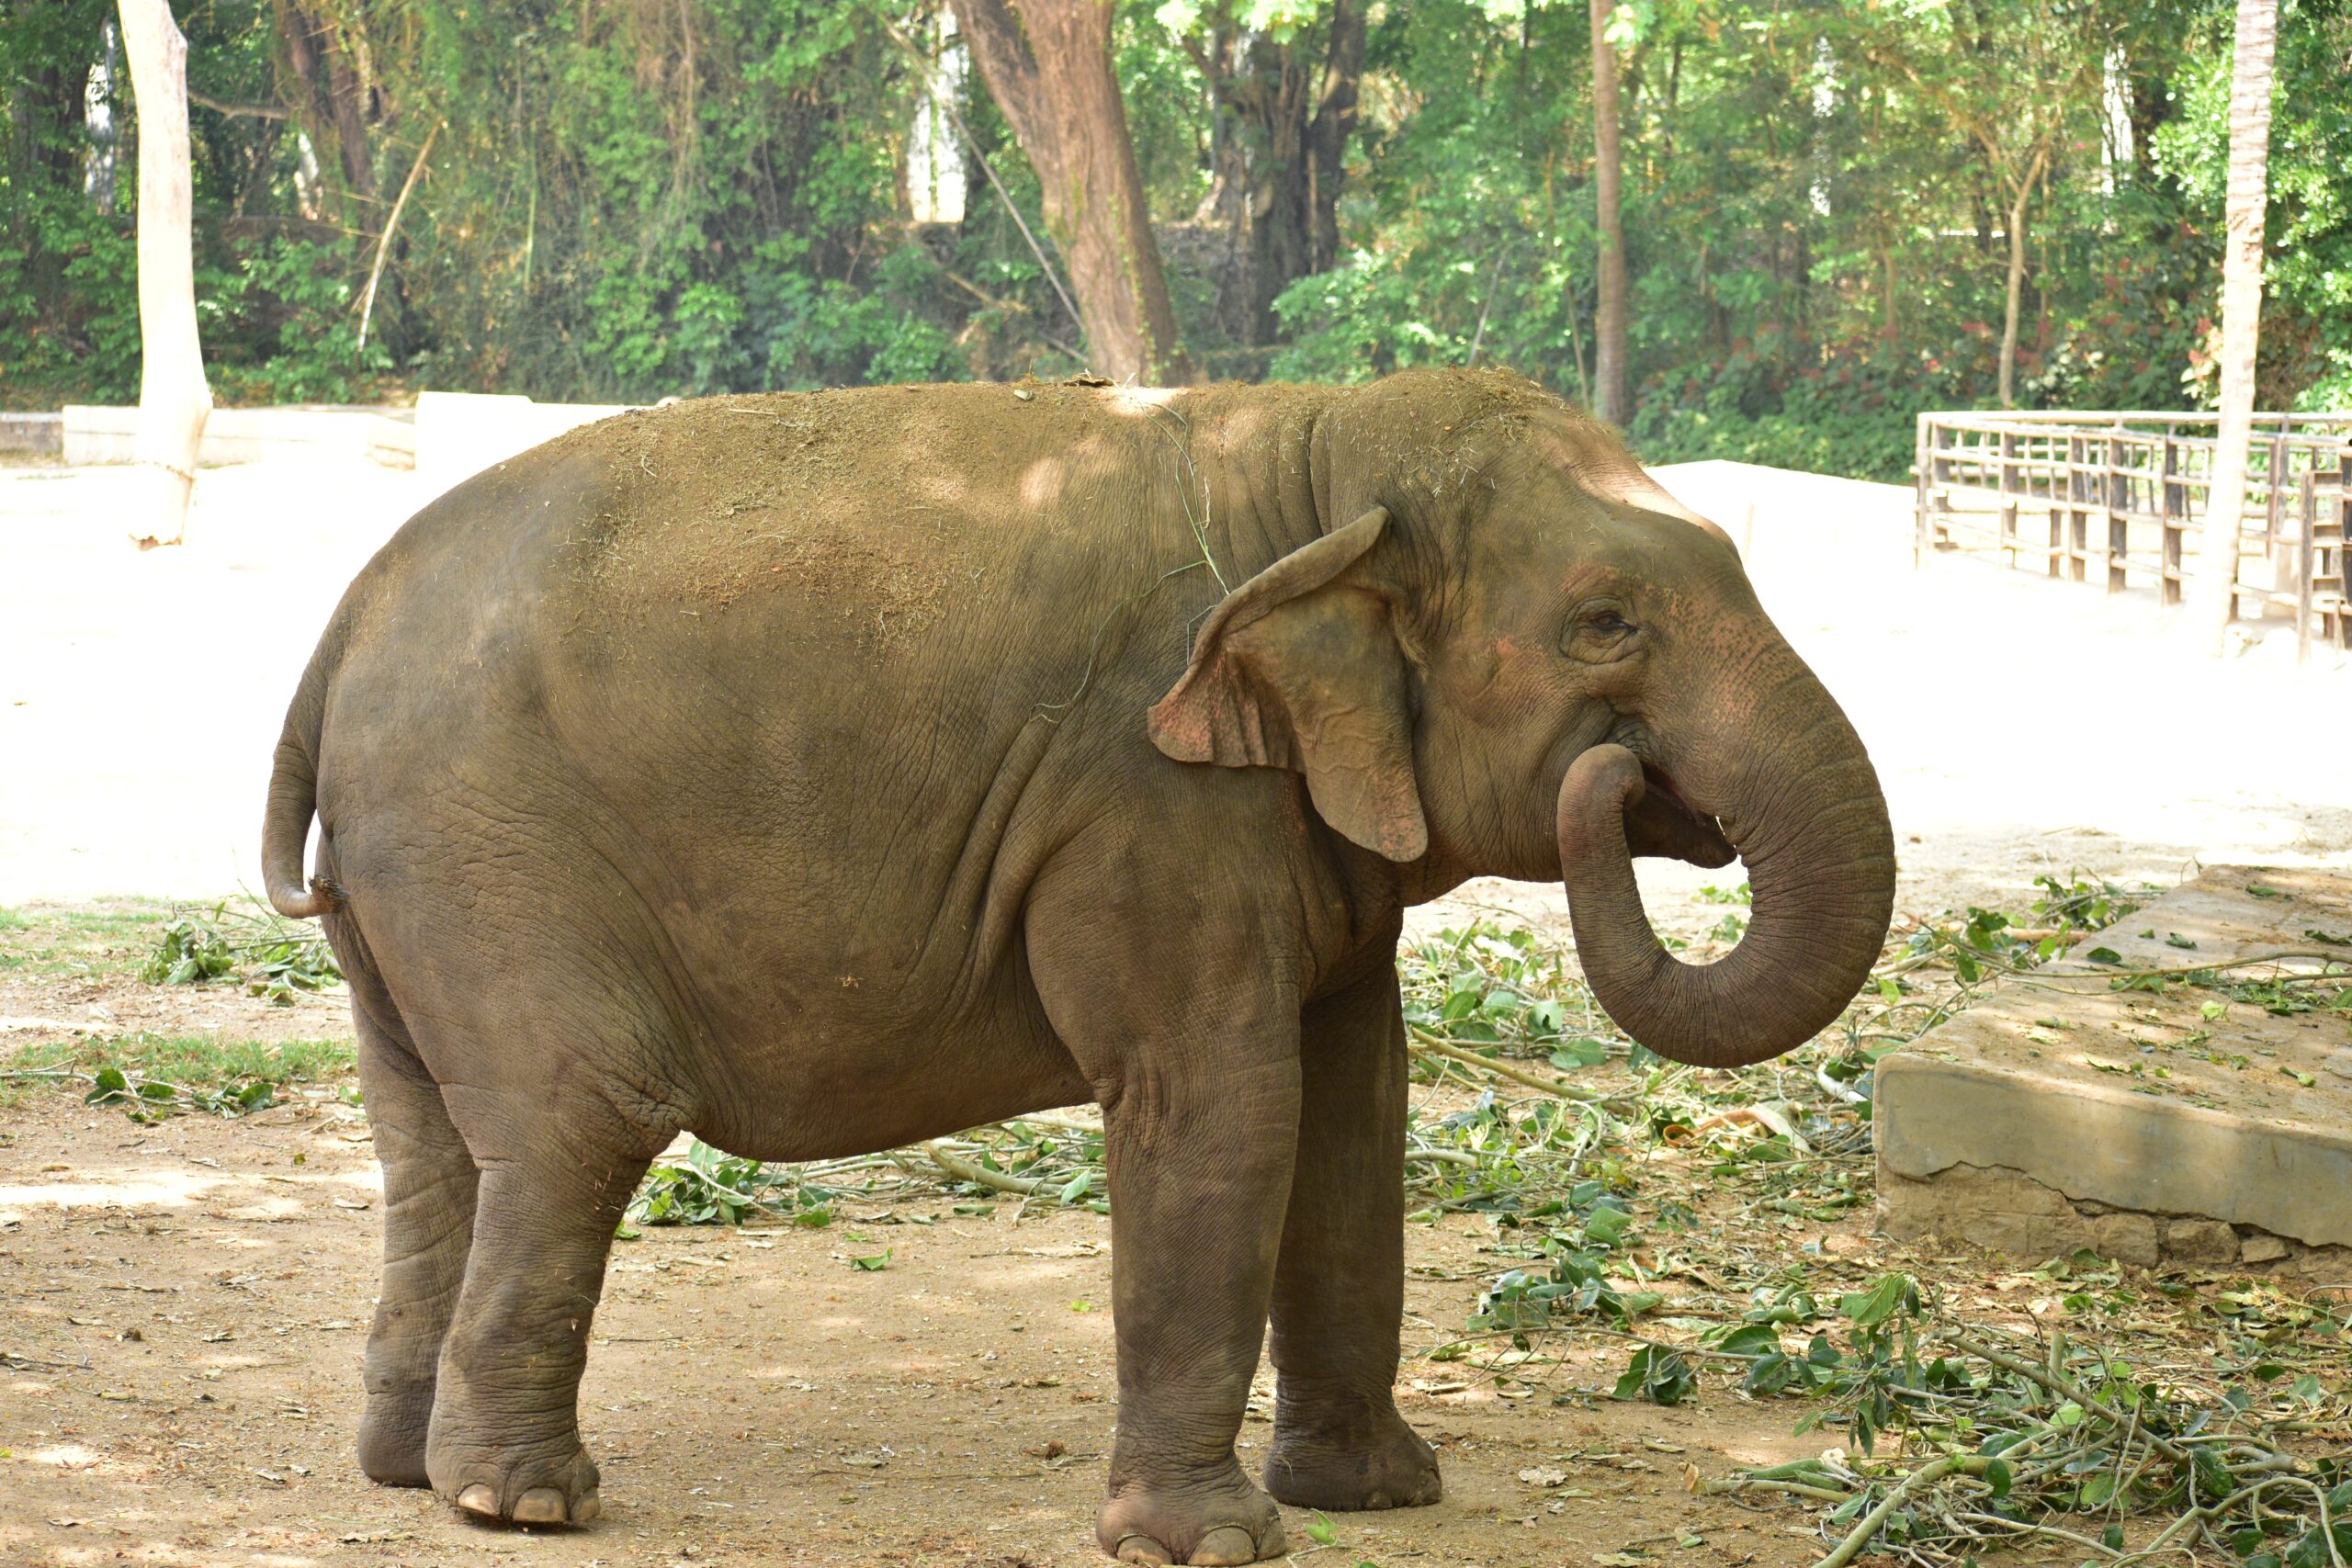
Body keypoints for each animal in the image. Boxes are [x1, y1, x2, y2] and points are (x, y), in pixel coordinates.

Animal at [261, 368, 1894, 1565]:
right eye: (1605, 623)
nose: (1621, 779)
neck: (1317, 448)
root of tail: (332, 634)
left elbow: (1357, 1108)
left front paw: (1380, 1493)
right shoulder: (1147, 800)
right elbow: (1220, 1100)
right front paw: (1211, 1542)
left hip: (406, 892)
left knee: (435, 1144)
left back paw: (406, 1468)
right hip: (488, 848)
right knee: (578, 1117)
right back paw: (521, 1503)